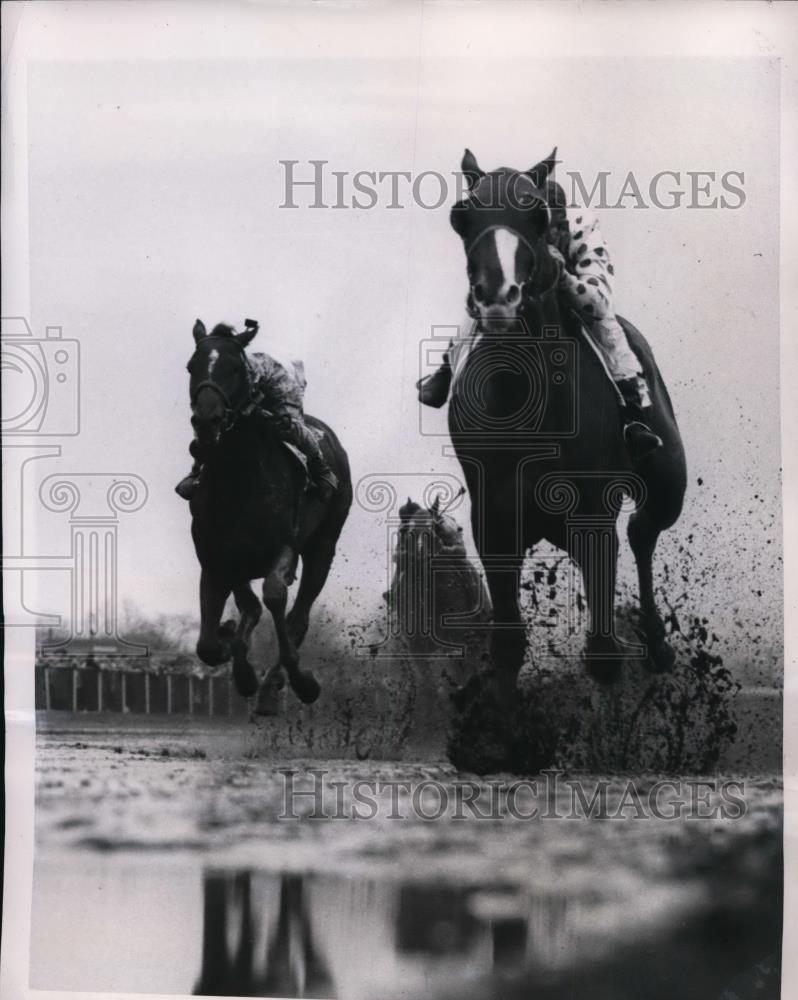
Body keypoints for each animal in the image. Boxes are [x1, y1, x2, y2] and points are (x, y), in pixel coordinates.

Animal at [188, 320, 354, 712]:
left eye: (235, 368)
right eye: (191, 367)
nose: (207, 421)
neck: (238, 479)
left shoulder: (283, 546)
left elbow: (275, 597)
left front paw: (297, 680)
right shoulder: (216, 557)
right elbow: (211, 640)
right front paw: (235, 654)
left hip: (323, 547)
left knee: (299, 616)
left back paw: (275, 684)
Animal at [450, 150, 688, 704]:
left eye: (538, 216)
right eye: (461, 216)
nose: (498, 296)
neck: (524, 405)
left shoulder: (592, 519)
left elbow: (603, 657)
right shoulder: (493, 522)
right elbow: (508, 646)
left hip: (668, 481)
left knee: (644, 530)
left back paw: (657, 641)